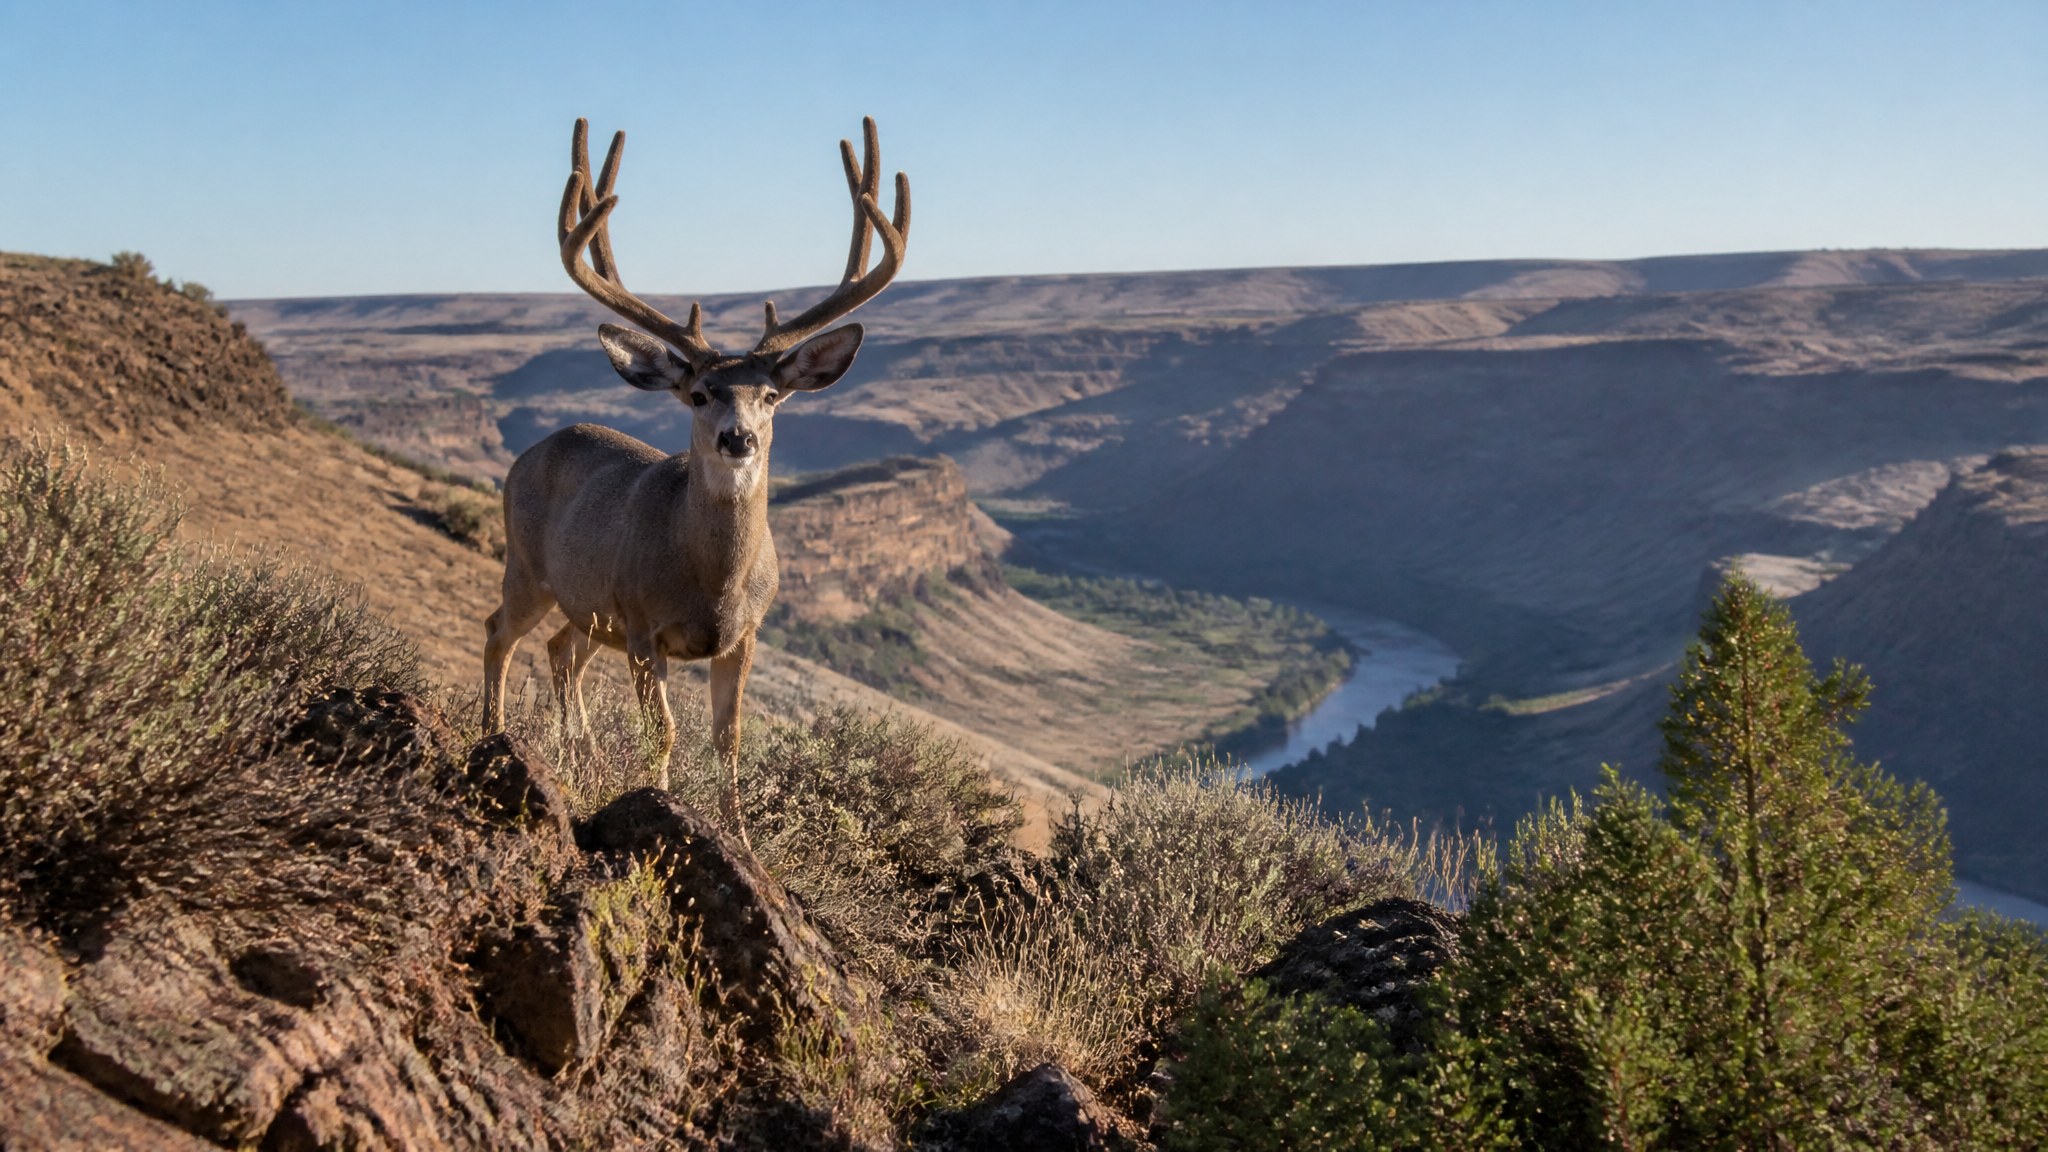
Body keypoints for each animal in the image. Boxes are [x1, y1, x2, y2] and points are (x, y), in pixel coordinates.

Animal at [481, 116, 910, 836]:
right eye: (701, 393)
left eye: (771, 395)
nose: (738, 438)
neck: (710, 583)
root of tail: (531, 450)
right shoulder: (642, 625)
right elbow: (665, 735)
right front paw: (658, 803)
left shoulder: (744, 634)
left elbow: (726, 740)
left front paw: (739, 838)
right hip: (531, 568)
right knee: (499, 634)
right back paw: (493, 732)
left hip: (589, 606)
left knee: (561, 650)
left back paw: (579, 757)